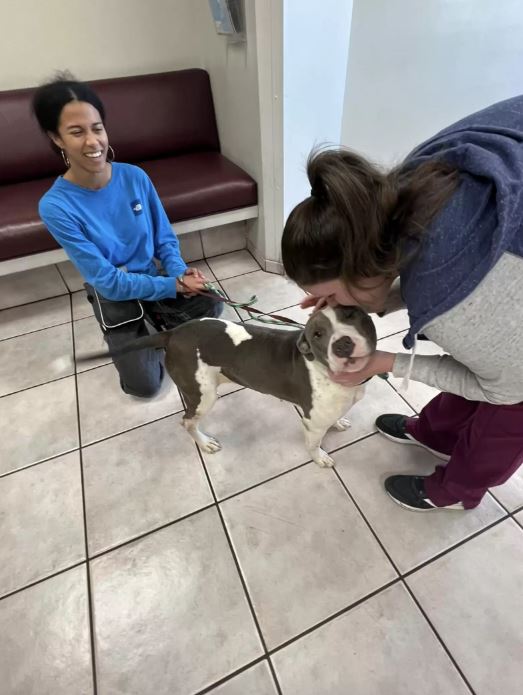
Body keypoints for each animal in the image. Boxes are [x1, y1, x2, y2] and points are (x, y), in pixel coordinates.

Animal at [81, 308, 376, 468]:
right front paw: (320, 458)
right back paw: (205, 443)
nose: (344, 344)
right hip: (203, 396)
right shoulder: (312, 423)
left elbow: (335, 418)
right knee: (186, 421)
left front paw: (338, 423)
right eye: (318, 334)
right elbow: (314, 445)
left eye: (352, 314)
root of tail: (173, 333)